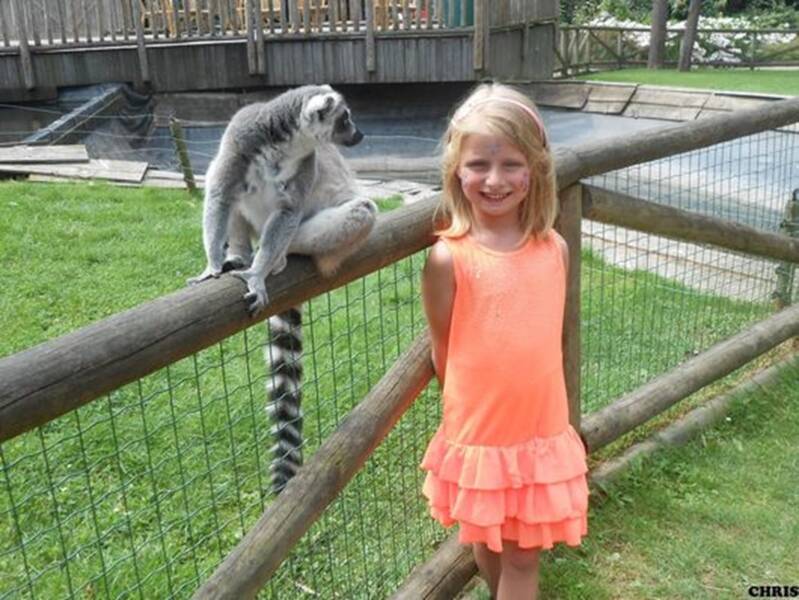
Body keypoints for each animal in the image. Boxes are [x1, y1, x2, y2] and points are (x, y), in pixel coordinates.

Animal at [190, 84, 377, 492]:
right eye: (345, 118)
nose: (360, 134)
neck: (286, 146)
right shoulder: (239, 140)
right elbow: (219, 195)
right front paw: (213, 265)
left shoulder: (305, 169)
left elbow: (289, 212)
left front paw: (259, 274)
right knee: (231, 195)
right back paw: (240, 256)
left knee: (358, 211)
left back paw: (278, 256)